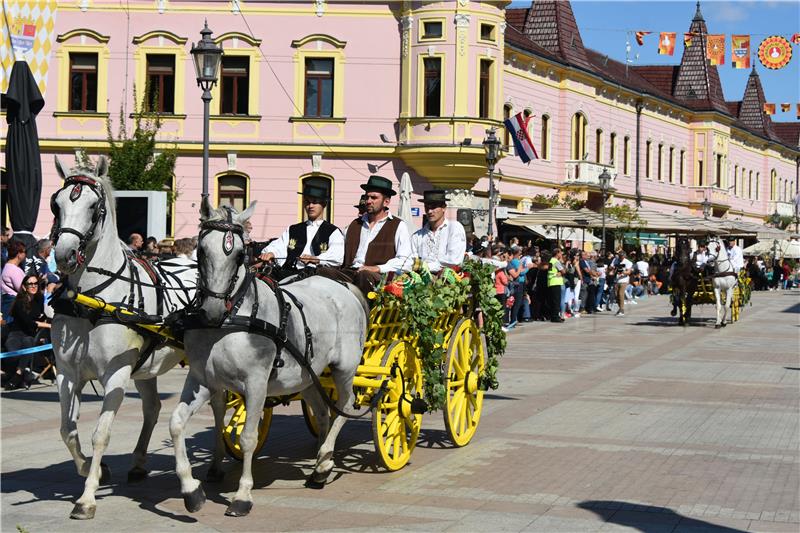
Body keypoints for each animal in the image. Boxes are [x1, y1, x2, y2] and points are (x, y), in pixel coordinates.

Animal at [49, 155, 199, 520]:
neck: (91, 301)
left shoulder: (116, 374)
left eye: (94, 208)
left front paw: (87, 498)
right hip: (145, 367)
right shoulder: (66, 373)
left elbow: (100, 434)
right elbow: (67, 429)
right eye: (56, 204)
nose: (63, 254)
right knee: (153, 408)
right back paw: (139, 463)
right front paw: (92, 469)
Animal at [171, 200, 368, 516]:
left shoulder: (256, 384)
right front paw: (191, 490)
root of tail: (343, 286)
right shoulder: (202, 379)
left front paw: (242, 495)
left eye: (240, 255)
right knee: (322, 412)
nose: (211, 311)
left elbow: (247, 438)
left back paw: (325, 460)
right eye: (200, 250)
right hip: (308, 375)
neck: (229, 321)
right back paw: (319, 462)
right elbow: (177, 423)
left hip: (345, 368)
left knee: (345, 405)